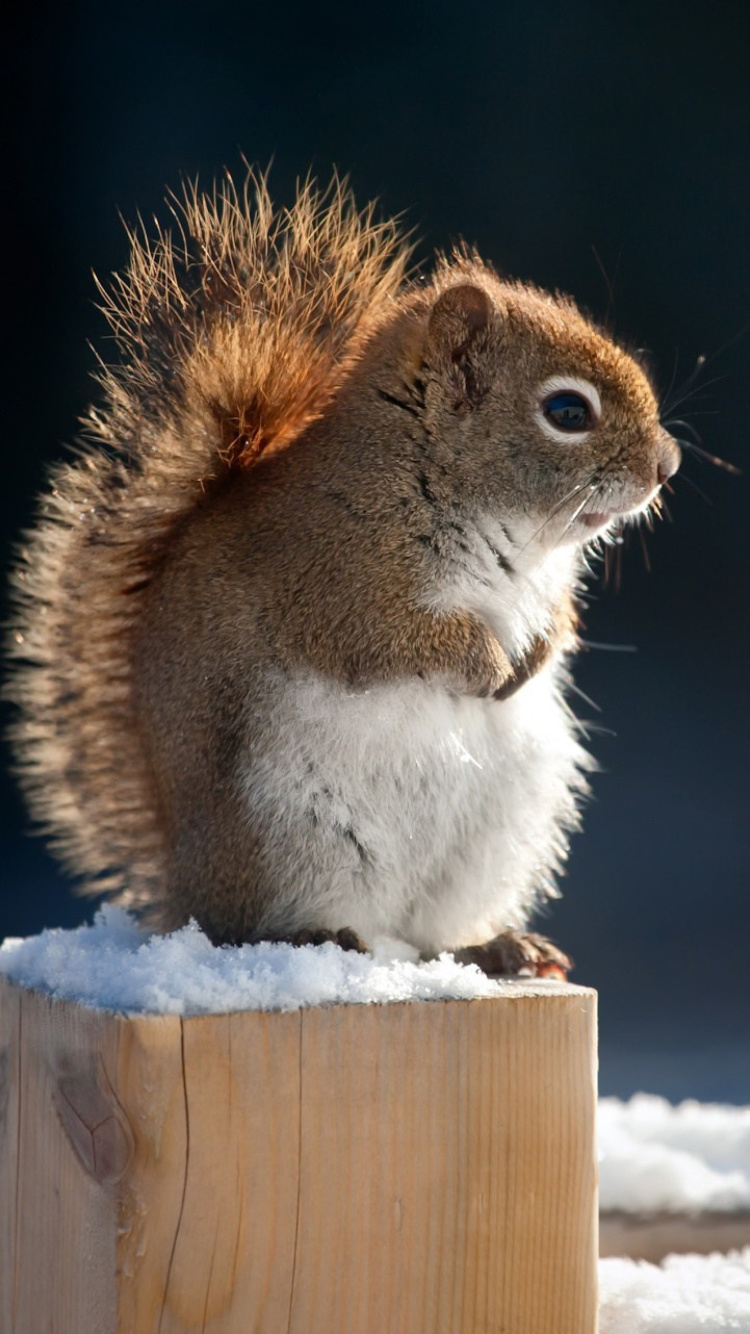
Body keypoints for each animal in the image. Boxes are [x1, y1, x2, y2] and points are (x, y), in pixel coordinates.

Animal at [4, 172, 677, 976]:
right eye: (568, 411)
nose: (667, 465)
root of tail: (182, 891)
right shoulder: (330, 580)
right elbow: (390, 640)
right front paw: (486, 664)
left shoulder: (545, 589)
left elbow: (559, 624)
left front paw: (532, 660)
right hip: (283, 838)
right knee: (251, 929)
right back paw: (318, 938)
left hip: (492, 842)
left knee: (432, 937)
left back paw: (499, 946)